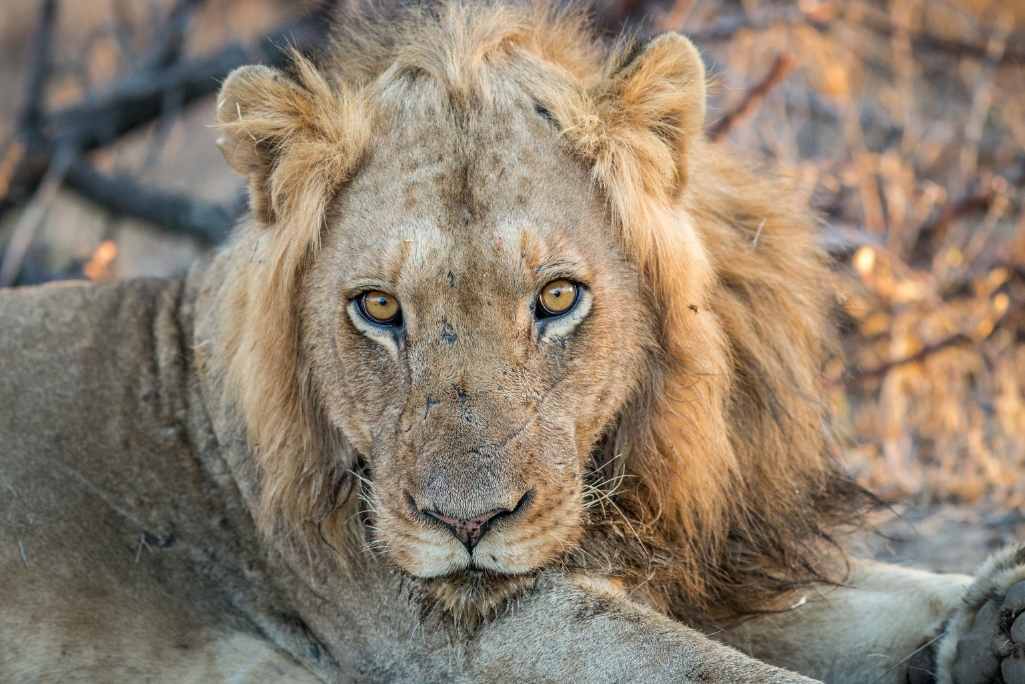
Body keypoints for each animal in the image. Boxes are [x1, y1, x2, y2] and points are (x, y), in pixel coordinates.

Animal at [1, 1, 1023, 682]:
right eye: (378, 309)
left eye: (557, 297)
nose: (466, 526)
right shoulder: (473, 633)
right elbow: (725, 672)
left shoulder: (716, 569)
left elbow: (887, 592)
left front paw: (993, 622)